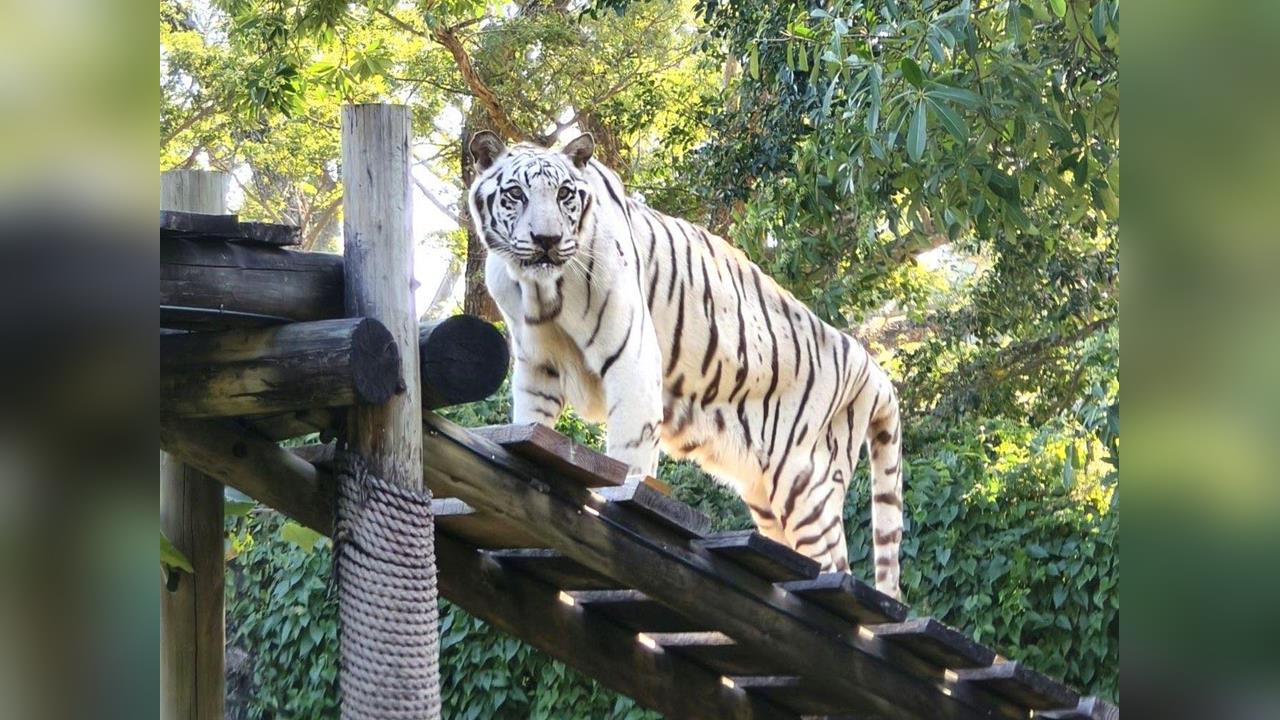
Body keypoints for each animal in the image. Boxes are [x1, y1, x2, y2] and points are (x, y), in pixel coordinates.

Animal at [467, 131, 904, 598]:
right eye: (516, 194)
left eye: (565, 194)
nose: (546, 240)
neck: (541, 291)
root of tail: (873, 369)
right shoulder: (537, 367)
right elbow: (531, 424)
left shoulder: (633, 361)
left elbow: (630, 456)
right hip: (767, 497)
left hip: (807, 485)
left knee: (837, 571)